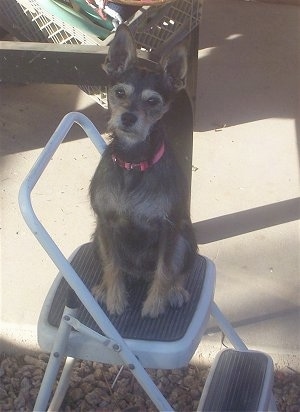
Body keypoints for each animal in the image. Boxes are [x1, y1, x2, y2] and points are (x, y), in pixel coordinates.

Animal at [89, 24, 197, 318]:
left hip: (186, 240)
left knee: (179, 271)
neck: (133, 162)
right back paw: (103, 287)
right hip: (96, 238)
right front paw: (115, 298)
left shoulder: (169, 229)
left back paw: (175, 291)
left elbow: (166, 269)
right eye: (119, 93)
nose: (128, 117)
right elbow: (112, 265)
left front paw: (154, 304)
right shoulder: (105, 223)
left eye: (152, 101)